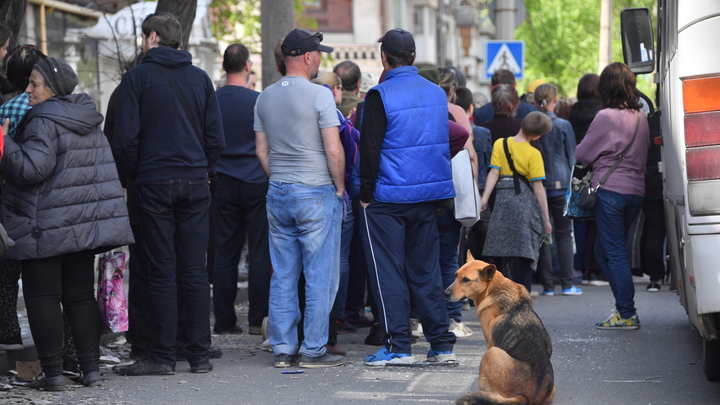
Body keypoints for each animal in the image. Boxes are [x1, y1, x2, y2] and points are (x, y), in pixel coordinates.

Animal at [444, 251, 556, 402]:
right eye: (456, 275)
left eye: (466, 279)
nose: (445, 293)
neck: (492, 288)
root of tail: (525, 398)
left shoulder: (490, 343)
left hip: (492, 353)